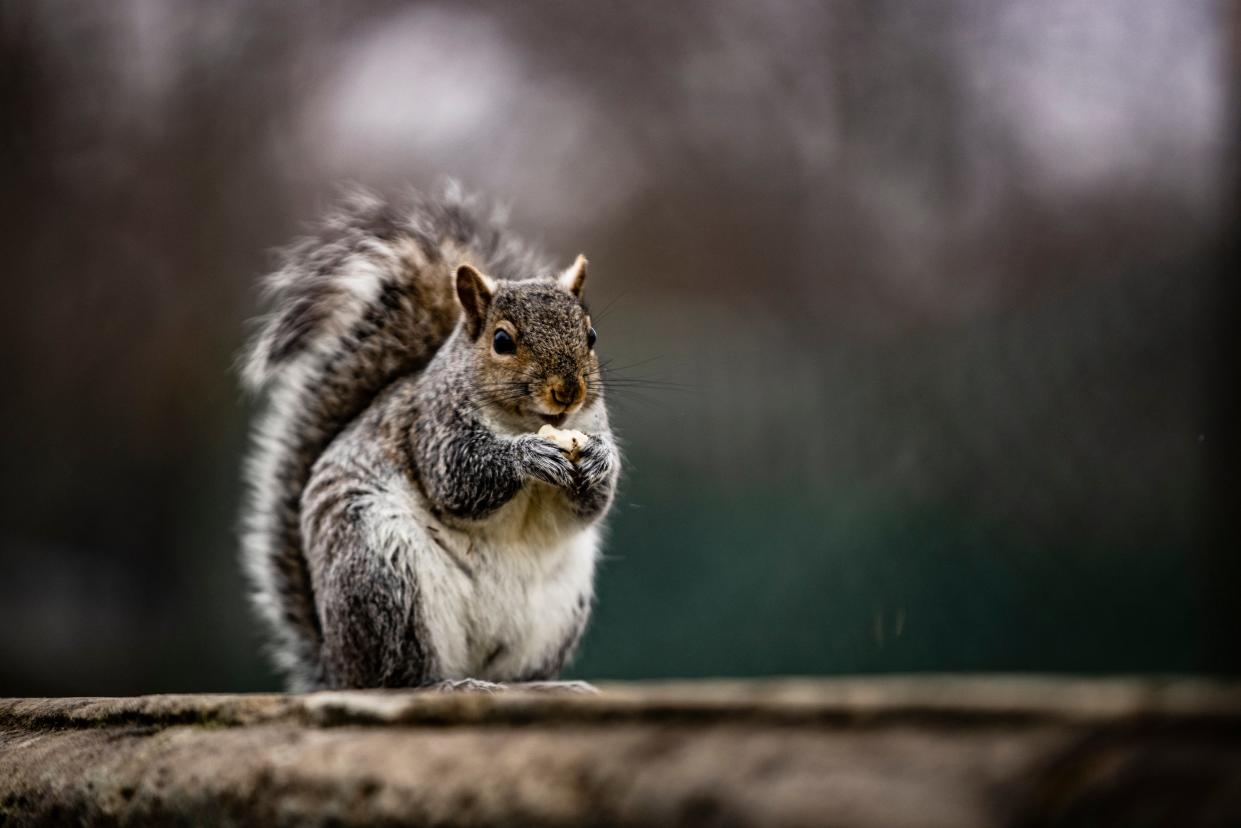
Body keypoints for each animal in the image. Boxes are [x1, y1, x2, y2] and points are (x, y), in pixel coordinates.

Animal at [238, 182, 620, 695]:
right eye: (502, 341)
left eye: (591, 335)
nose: (568, 391)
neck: (522, 420)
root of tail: (338, 668)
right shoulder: (432, 430)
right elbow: (460, 481)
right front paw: (529, 456)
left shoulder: (590, 422)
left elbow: (592, 503)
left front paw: (598, 459)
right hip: (385, 577)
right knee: (398, 674)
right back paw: (447, 686)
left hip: (554, 613)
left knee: (510, 674)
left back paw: (539, 687)